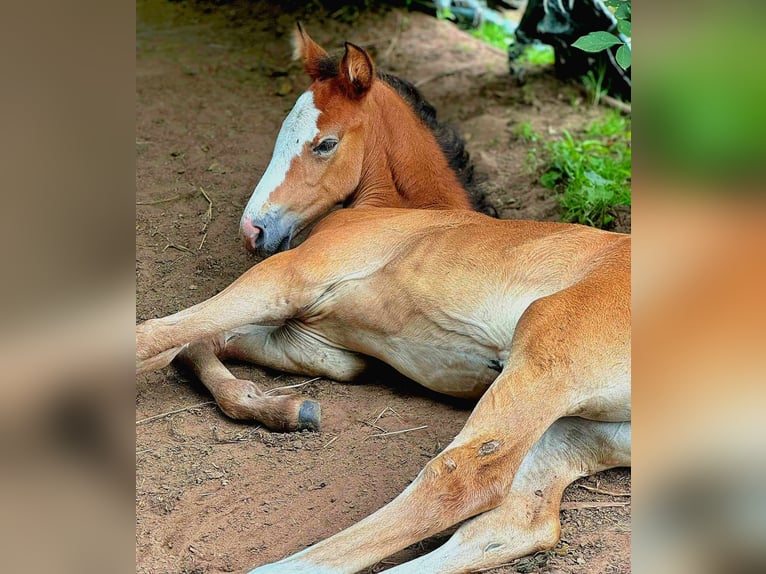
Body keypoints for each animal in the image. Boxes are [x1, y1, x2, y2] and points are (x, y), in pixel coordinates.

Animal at [136, 27, 632, 574]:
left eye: (326, 143)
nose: (254, 231)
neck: (402, 209)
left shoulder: (290, 277)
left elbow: (154, 335)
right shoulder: (319, 343)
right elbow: (195, 345)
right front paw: (284, 408)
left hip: (545, 361)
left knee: (461, 480)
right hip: (582, 428)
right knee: (516, 521)